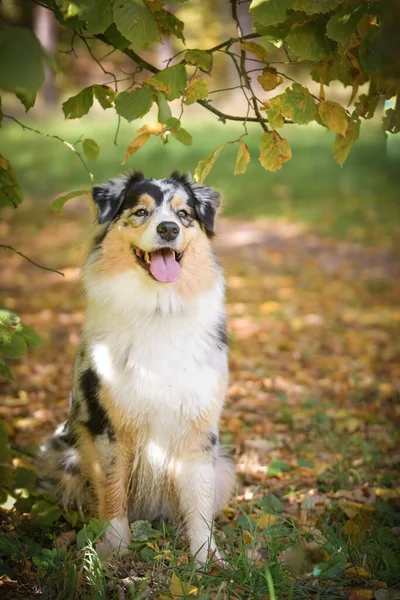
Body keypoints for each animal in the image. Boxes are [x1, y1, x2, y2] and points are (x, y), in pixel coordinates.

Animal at [38, 170, 234, 564]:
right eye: (141, 212)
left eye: (184, 214)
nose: (168, 229)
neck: (159, 309)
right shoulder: (108, 425)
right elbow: (113, 490)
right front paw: (114, 550)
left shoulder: (199, 428)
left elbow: (200, 500)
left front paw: (207, 558)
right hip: (61, 453)